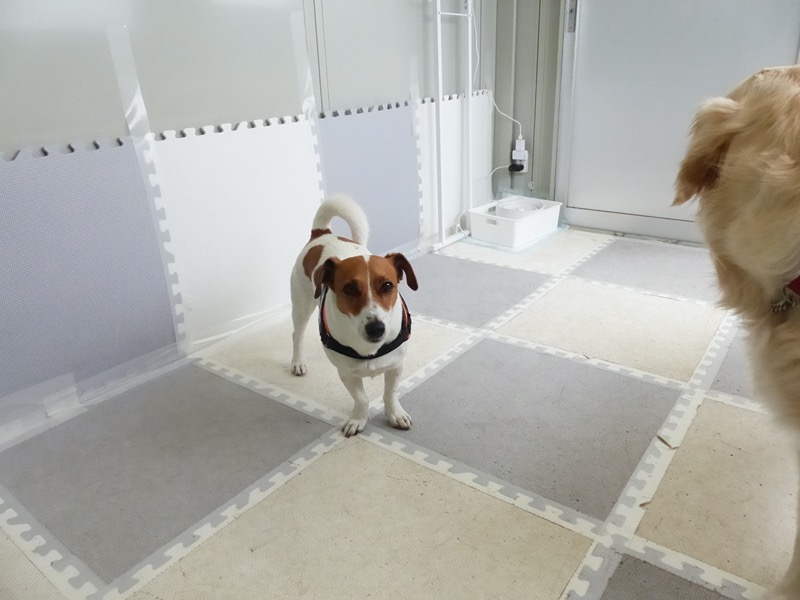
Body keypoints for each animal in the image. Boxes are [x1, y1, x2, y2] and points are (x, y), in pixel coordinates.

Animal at [290, 194, 418, 437]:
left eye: (388, 286)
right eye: (349, 289)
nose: (376, 328)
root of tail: (322, 233)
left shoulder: (396, 366)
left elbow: (390, 393)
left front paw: (395, 414)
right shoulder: (346, 372)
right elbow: (361, 398)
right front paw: (358, 419)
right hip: (301, 304)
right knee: (297, 335)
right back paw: (298, 362)